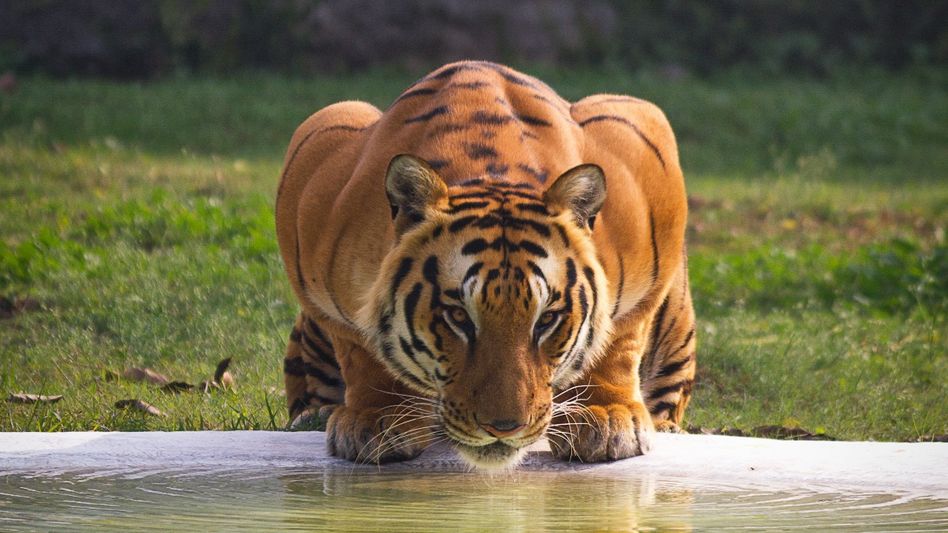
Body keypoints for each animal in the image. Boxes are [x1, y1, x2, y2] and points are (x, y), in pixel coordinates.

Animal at [276, 61, 696, 469]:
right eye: (458, 317)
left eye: (547, 319)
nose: (504, 428)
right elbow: (359, 348)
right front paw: (377, 418)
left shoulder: (644, 144)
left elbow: (620, 337)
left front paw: (606, 417)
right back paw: (315, 416)